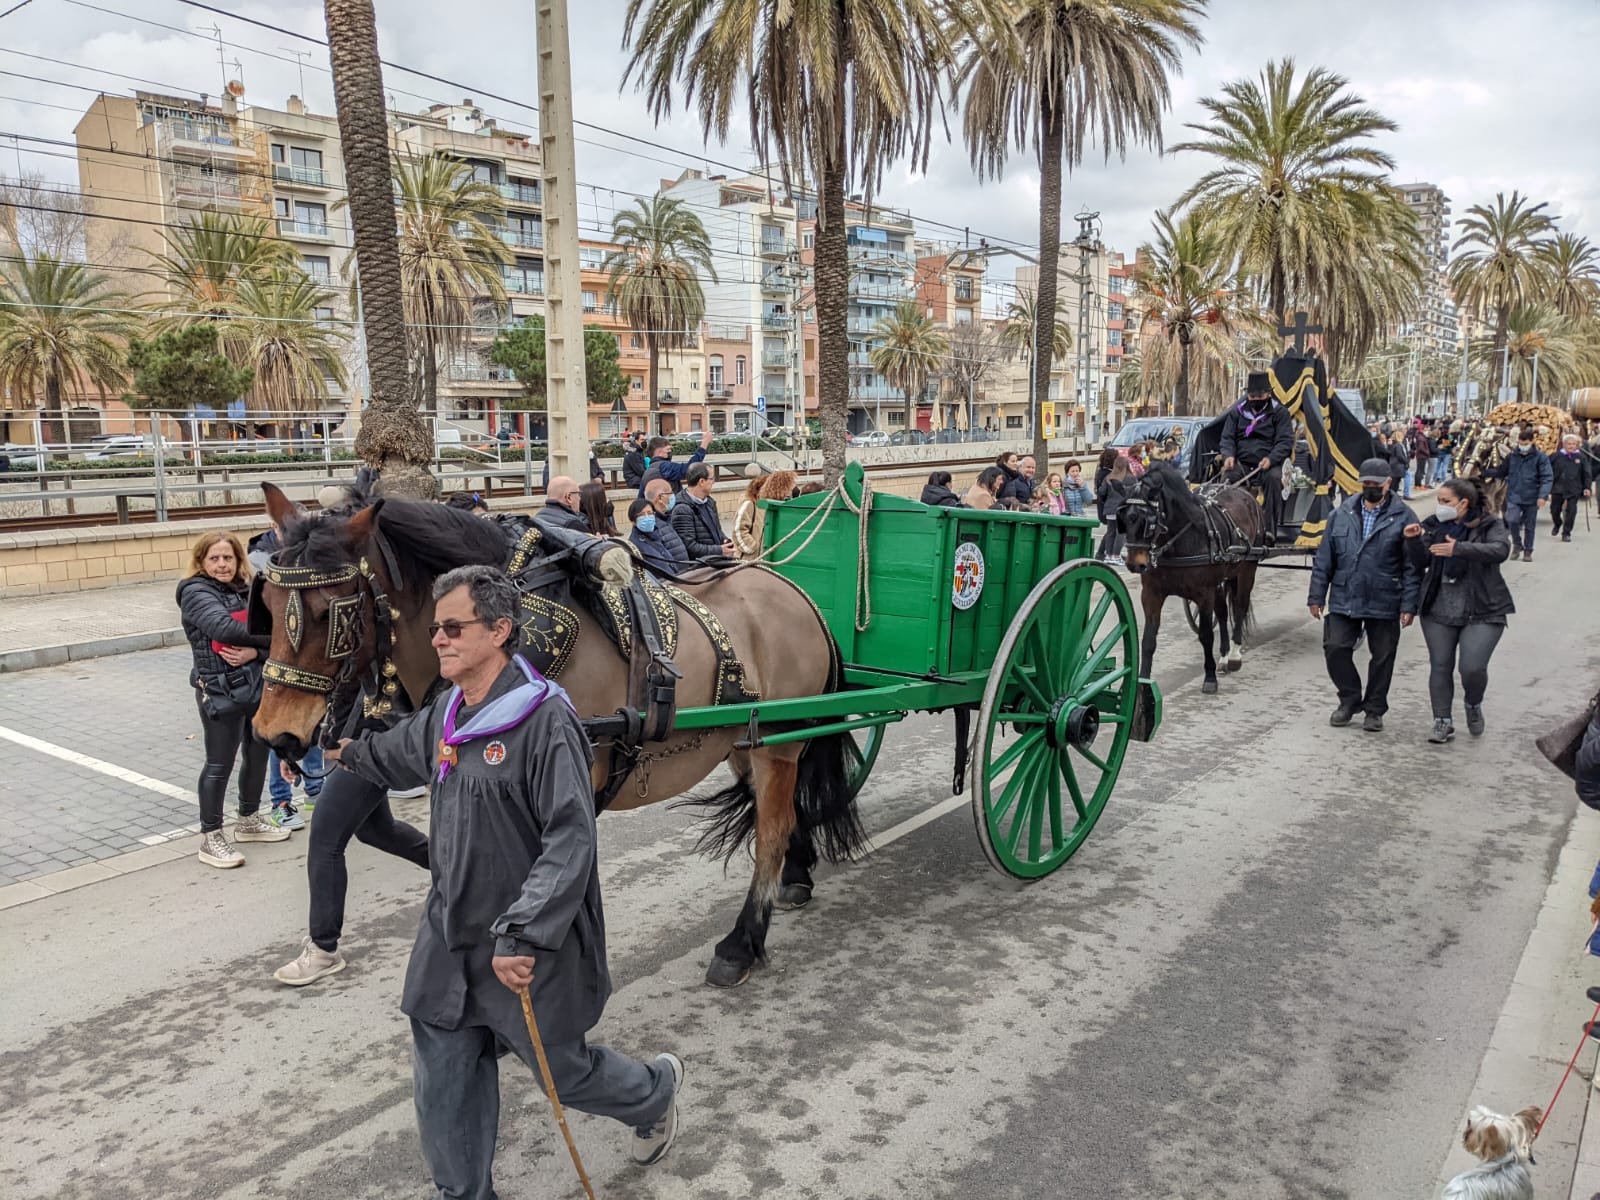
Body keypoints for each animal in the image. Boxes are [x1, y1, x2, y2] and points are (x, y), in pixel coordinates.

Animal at [251, 483, 870, 992]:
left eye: (331, 614)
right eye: (270, 607)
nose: (274, 733)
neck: (506, 639)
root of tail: (794, 592)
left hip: (781, 742)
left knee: (771, 830)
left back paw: (743, 942)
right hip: (745, 740)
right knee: (780, 811)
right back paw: (796, 876)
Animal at [1113, 464, 1260, 700]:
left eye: (1148, 521)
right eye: (1123, 519)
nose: (1135, 564)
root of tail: (1243, 492)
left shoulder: (1204, 594)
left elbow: (1206, 636)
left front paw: (1210, 678)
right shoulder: (1152, 594)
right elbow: (1148, 640)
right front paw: (1143, 684)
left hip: (1247, 569)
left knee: (1239, 607)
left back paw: (1235, 655)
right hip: (1222, 579)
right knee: (1223, 612)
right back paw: (1224, 656)